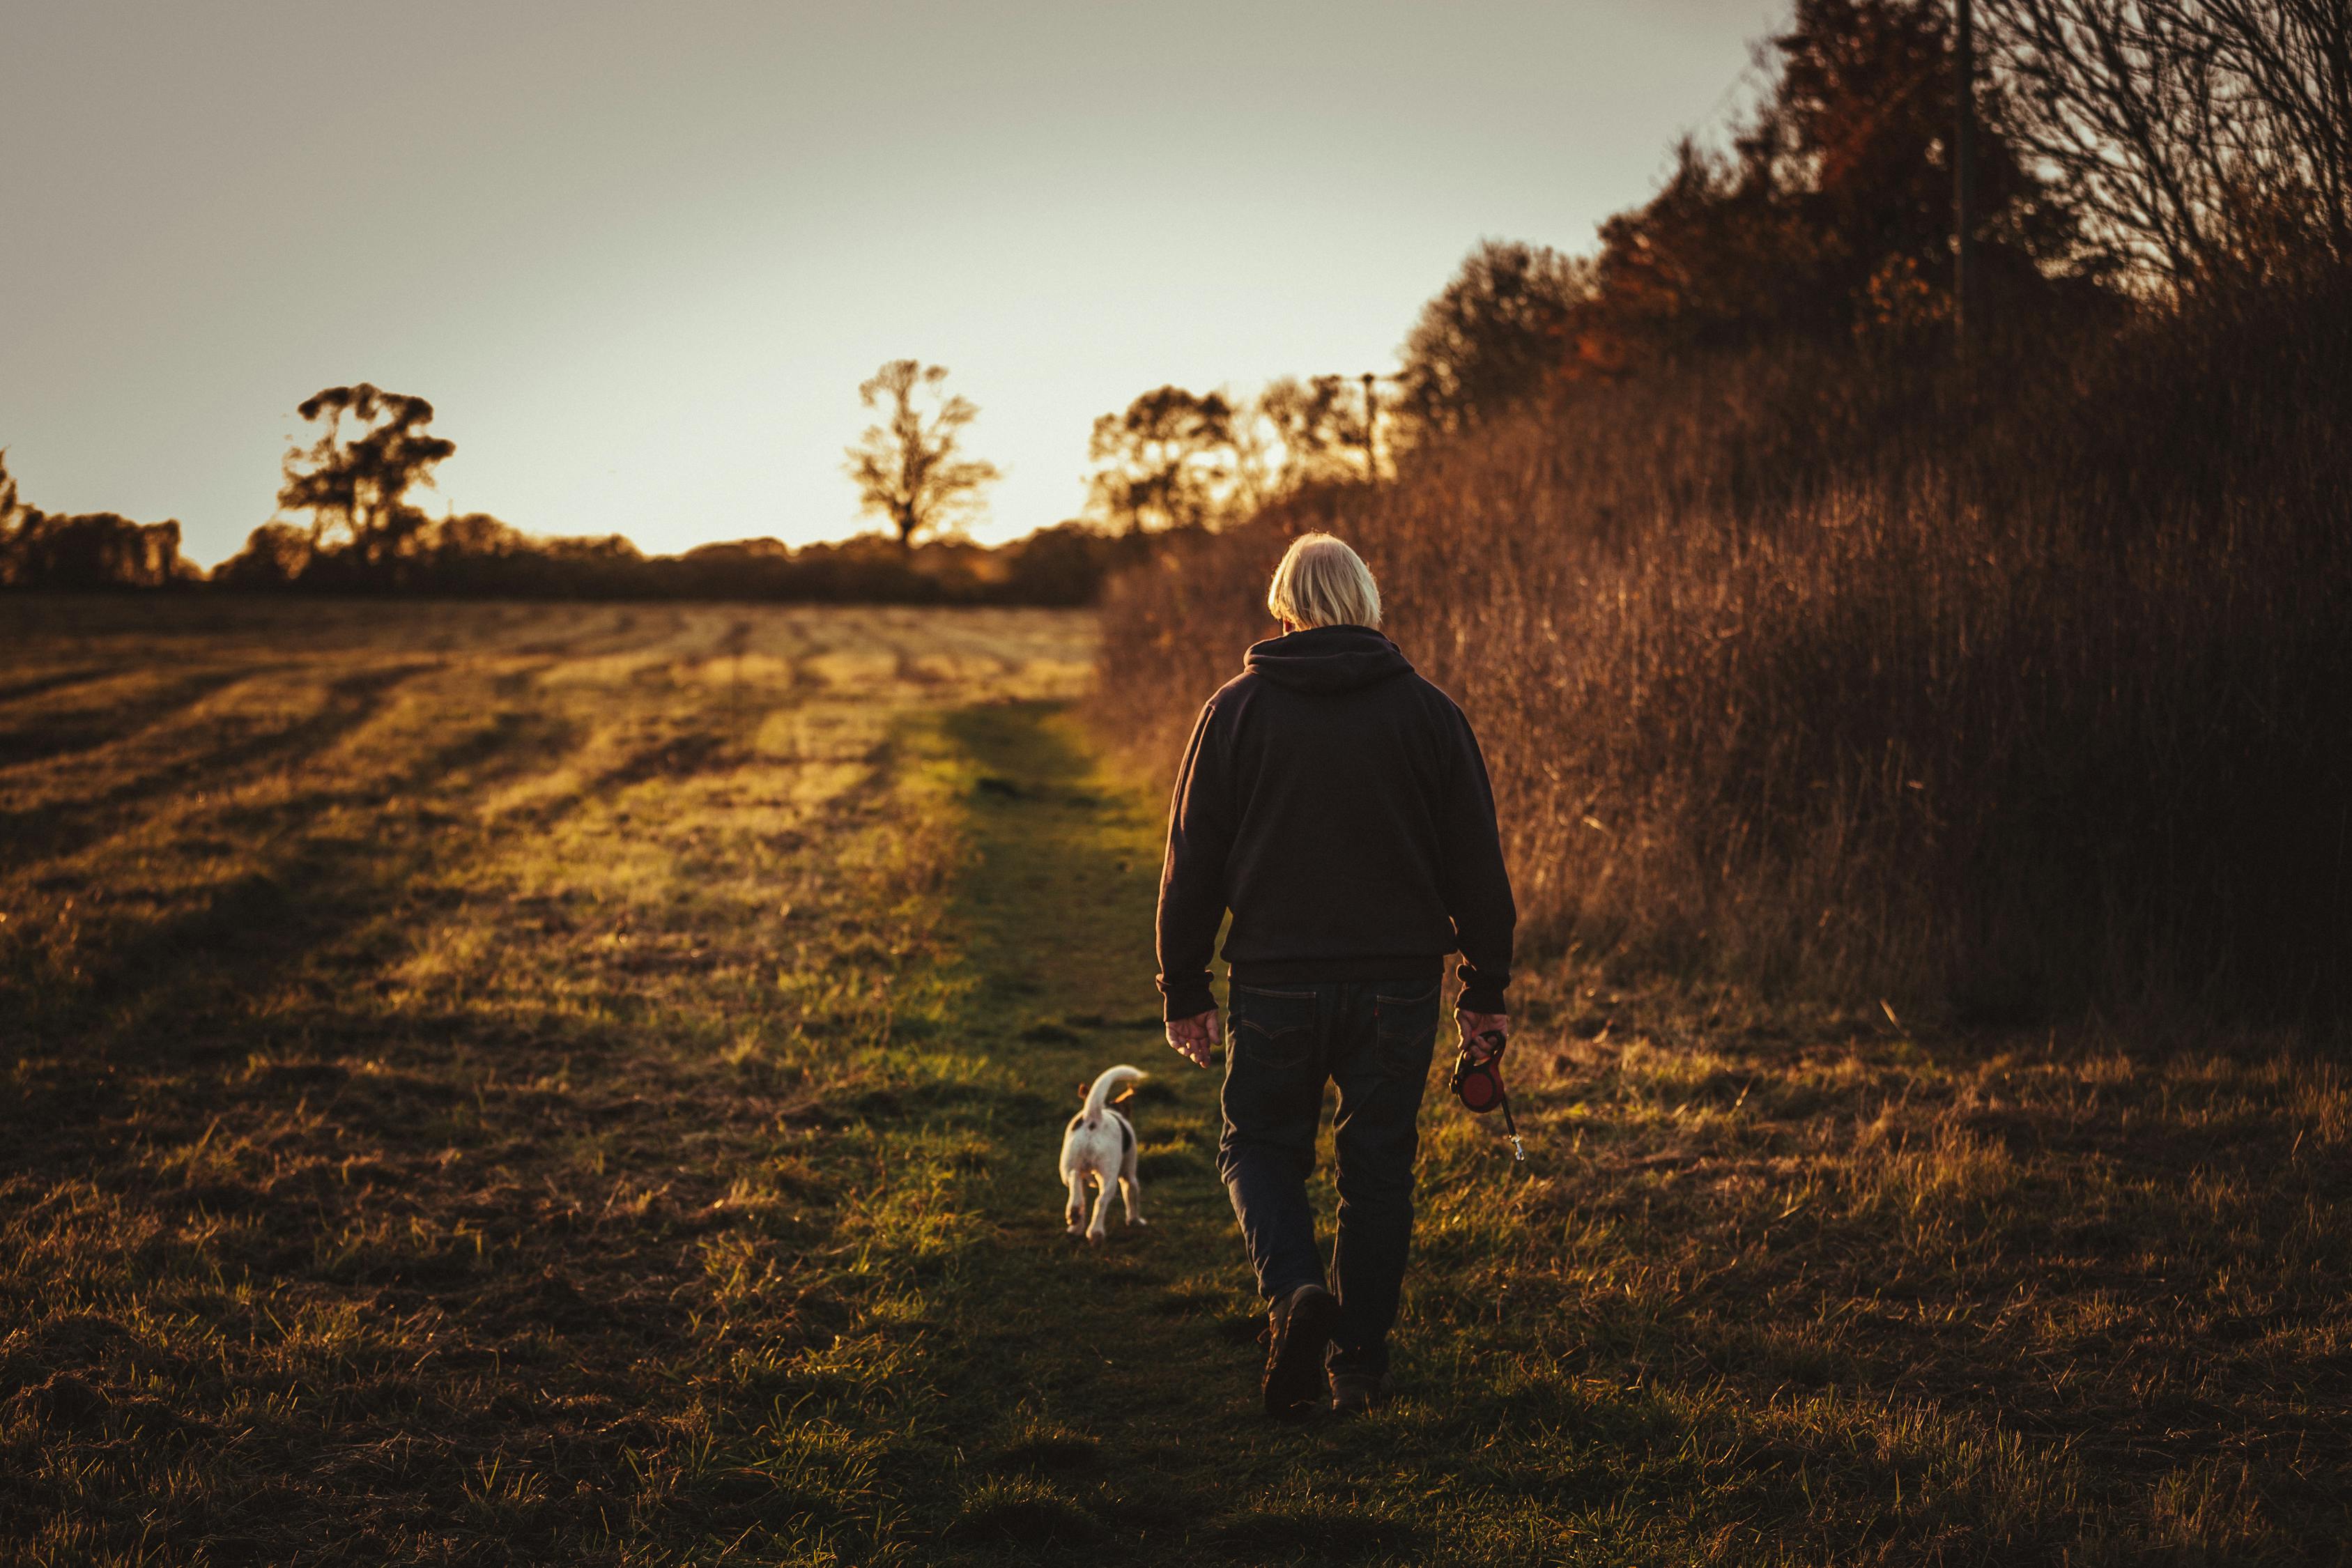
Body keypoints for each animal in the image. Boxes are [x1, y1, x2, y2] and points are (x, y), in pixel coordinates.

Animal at [1063, 1062, 1143, 1241]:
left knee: (1074, 1179)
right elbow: (1132, 1196)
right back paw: (1096, 1232)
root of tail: (1094, 1117)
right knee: (1101, 1200)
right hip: (1109, 1176)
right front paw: (1135, 1220)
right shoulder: (1129, 1174)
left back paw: (1074, 1213)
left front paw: (1076, 1227)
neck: (1108, 1108)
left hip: (1068, 1165)